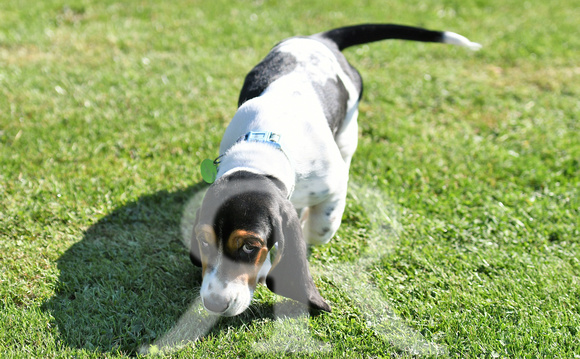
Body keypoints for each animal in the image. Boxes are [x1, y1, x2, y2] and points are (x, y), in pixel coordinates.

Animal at [190, 23, 480, 316]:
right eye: (204, 241)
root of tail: (320, 39)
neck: (262, 152)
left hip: (349, 131)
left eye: (250, 246)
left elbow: (318, 229)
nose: (214, 303)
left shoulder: (334, 186)